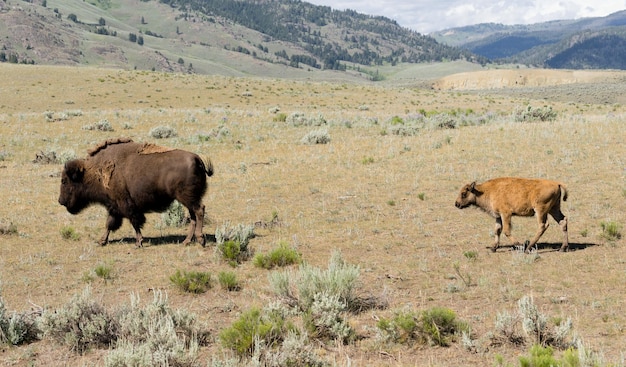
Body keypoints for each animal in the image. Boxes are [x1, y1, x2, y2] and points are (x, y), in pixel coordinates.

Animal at [59, 137, 214, 247]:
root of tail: (197, 159)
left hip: (187, 198)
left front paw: (138, 242)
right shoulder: (114, 206)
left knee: (199, 211)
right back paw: (186, 241)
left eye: (64, 181)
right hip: (187, 200)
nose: (60, 200)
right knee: (193, 217)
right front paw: (102, 241)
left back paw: (201, 240)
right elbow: (109, 224)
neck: (94, 171)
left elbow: (134, 222)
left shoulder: (125, 205)